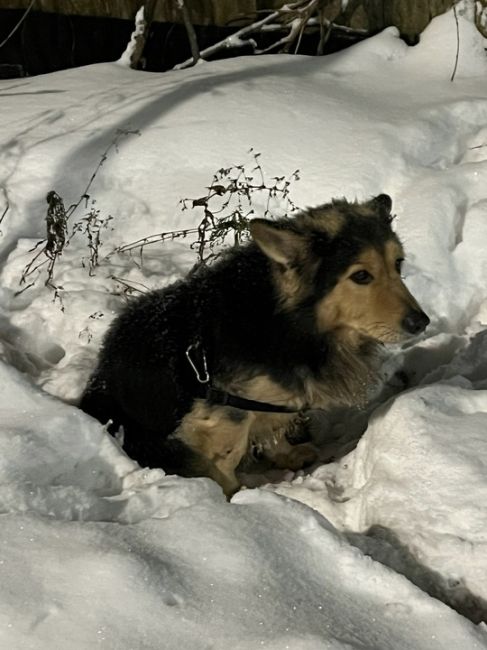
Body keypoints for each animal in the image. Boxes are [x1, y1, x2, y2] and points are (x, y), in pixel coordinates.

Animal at [81, 195, 430, 494]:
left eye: (398, 264)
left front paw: (285, 453)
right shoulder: (223, 410)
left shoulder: (274, 400)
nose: (421, 322)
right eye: (361, 276)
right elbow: (228, 455)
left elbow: (275, 424)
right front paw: (233, 497)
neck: (286, 320)